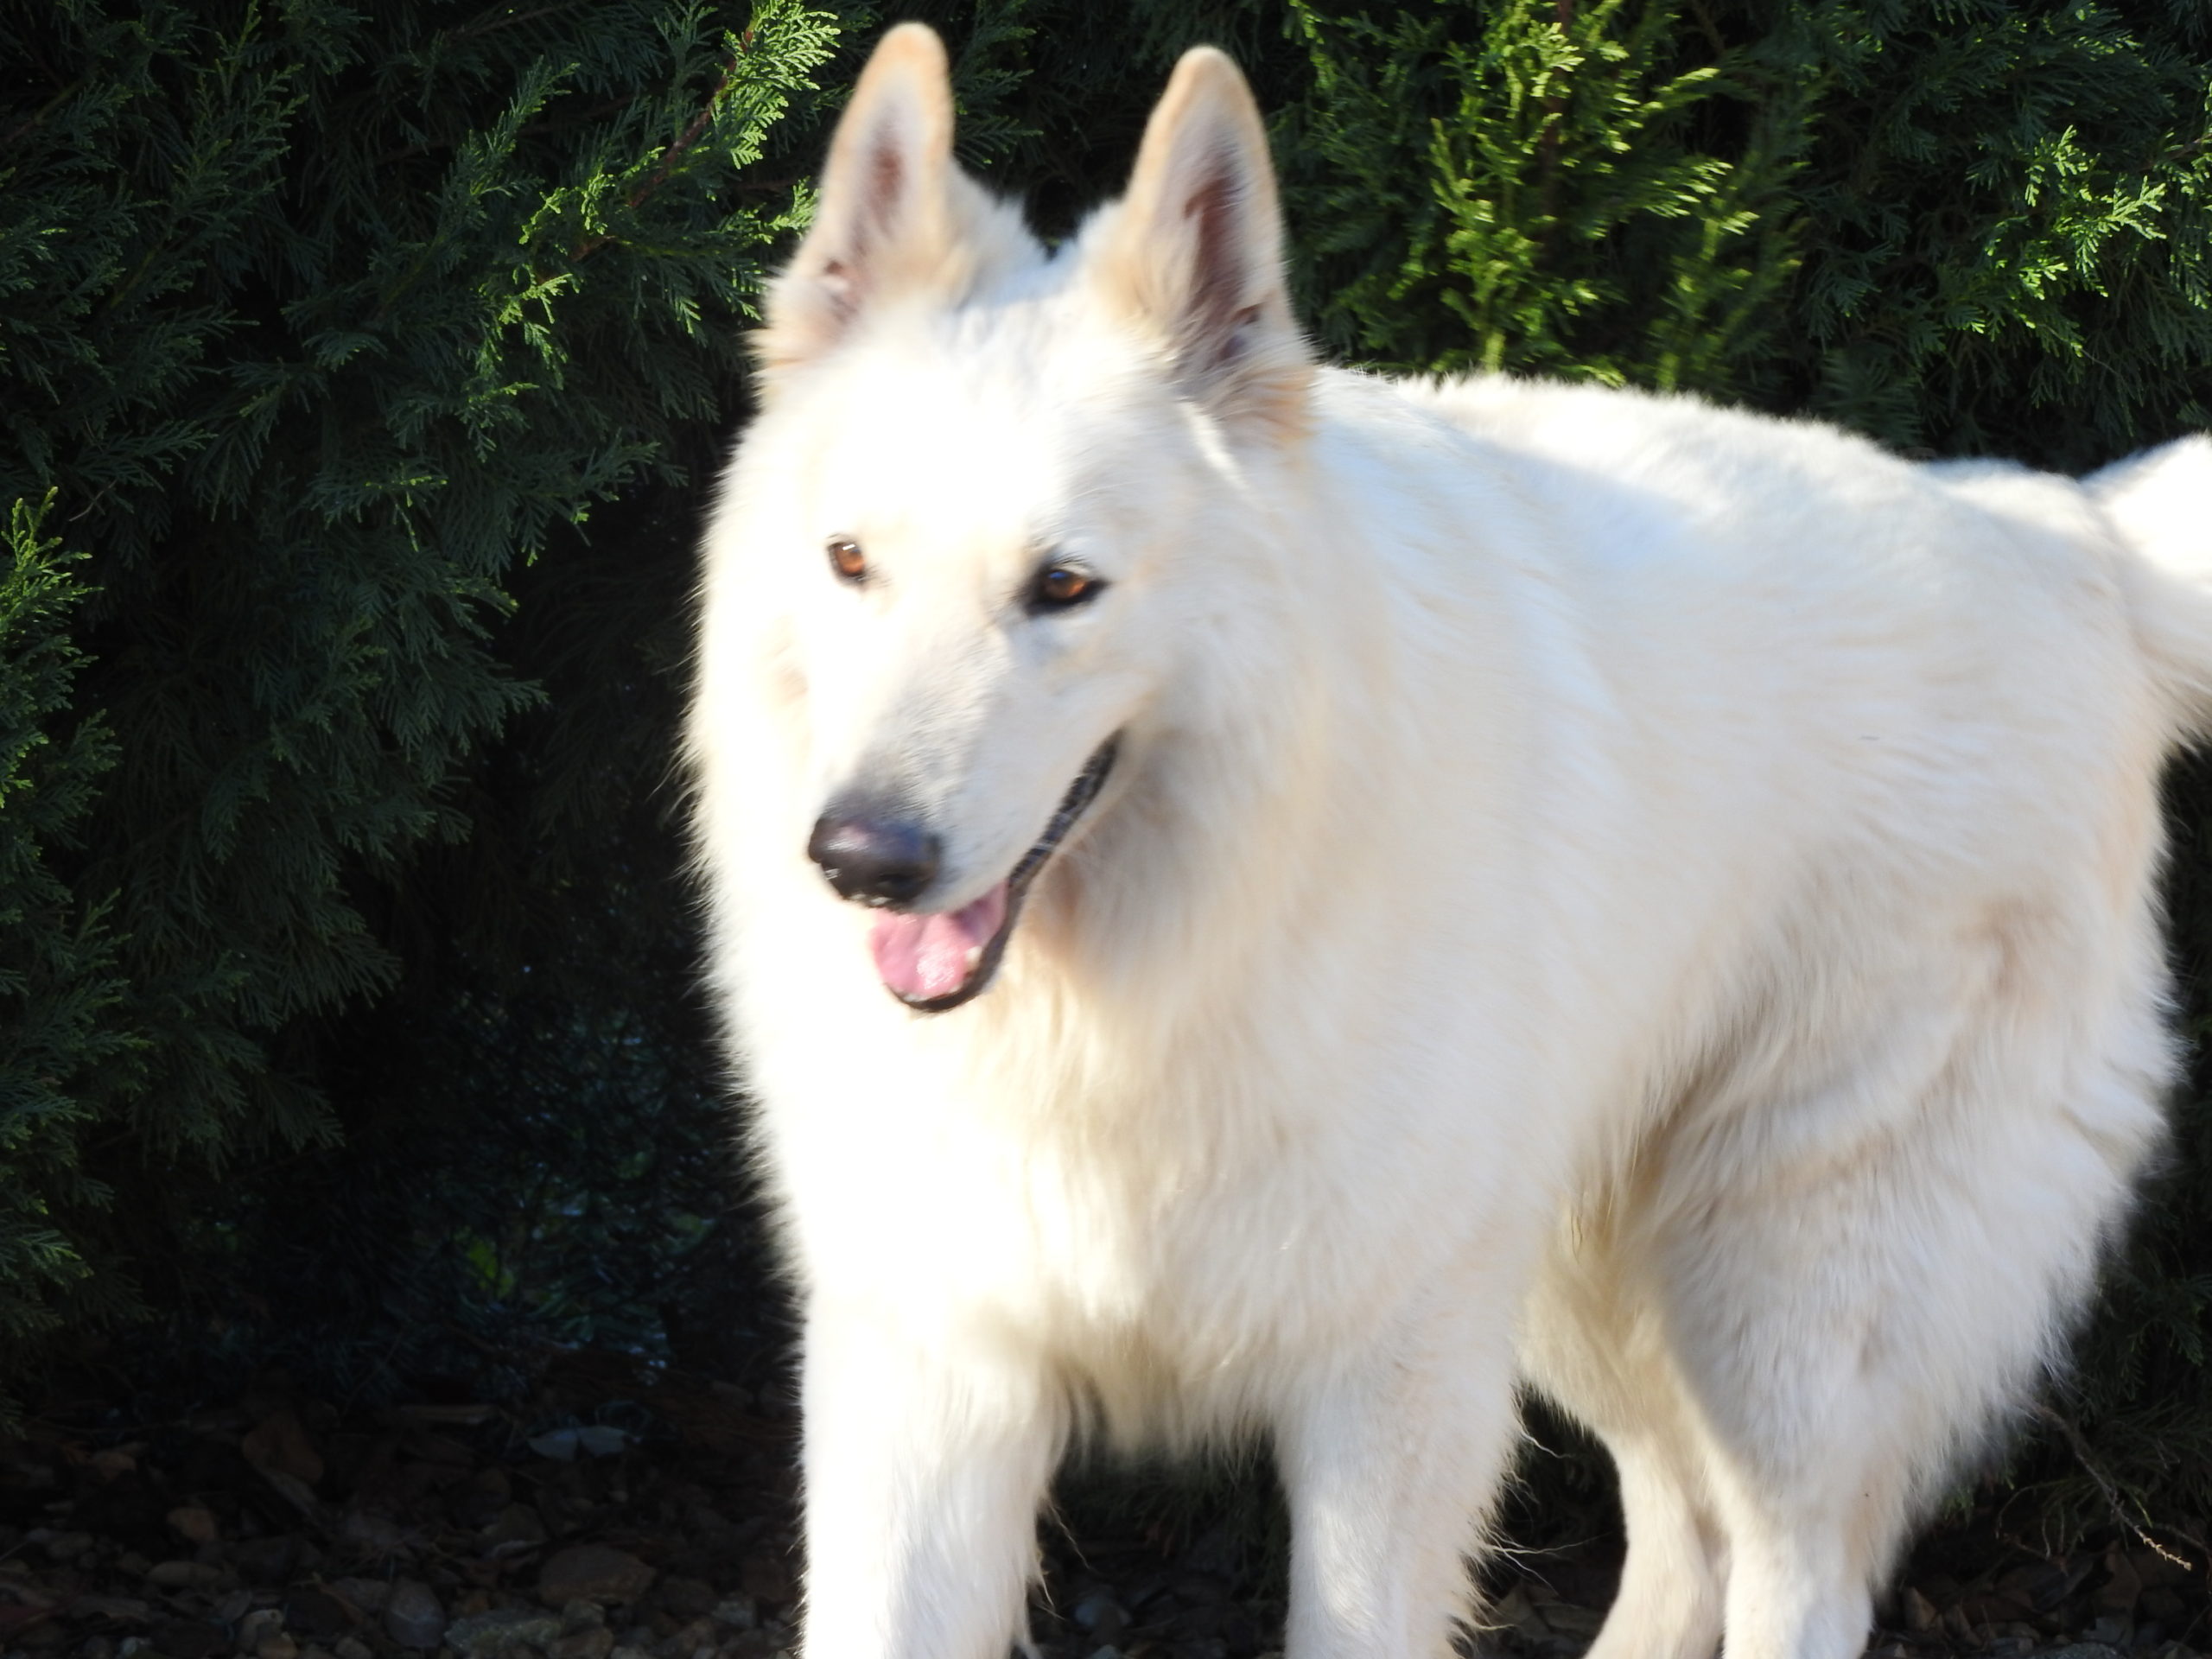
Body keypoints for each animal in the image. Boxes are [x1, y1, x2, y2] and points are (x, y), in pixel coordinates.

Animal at [685, 24, 2212, 1659]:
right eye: (852, 563)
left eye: (1065, 587)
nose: (862, 860)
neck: (1149, 984)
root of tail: (2065, 533)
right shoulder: (933, 1376)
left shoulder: (1389, 1385)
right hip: (1589, 1286)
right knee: (1684, 1535)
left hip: (1782, 1302)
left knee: (1801, 1571)